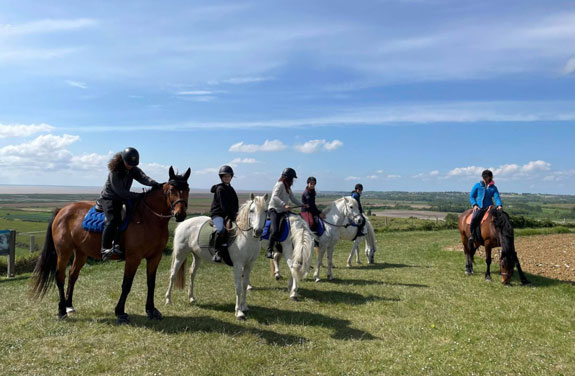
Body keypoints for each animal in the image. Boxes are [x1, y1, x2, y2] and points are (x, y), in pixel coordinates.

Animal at [31, 166, 191, 324]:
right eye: (171, 190)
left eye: (187, 189)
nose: (180, 214)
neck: (148, 218)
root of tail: (62, 210)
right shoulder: (133, 258)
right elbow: (126, 284)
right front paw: (120, 312)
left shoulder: (155, 257)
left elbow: (151, 283)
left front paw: (151, 310)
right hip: (64, 252)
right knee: (60, 277)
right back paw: (61, 311)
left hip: (81, 253)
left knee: (72, 275)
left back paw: (69, 306)